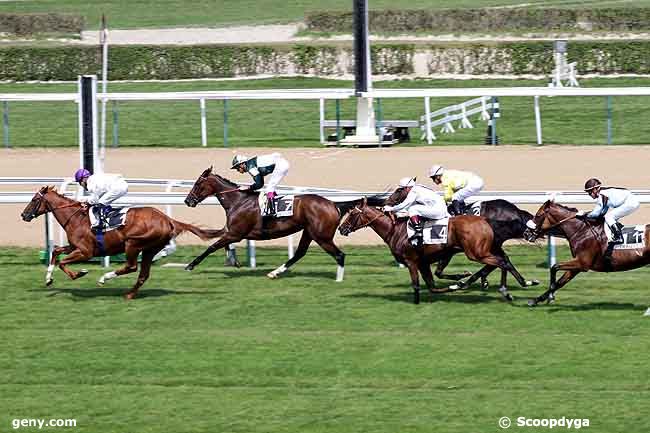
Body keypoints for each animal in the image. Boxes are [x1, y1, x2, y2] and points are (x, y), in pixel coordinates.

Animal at [20, 184, 223, 298]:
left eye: (34, 200)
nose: (23, 215)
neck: (76, 217)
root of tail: (168, 220)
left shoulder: (86, 251)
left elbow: (63, 262)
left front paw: (80, 273)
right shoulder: (74, 246)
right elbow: (55, 252)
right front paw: (48, 279)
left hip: (132, 244)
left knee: (132, 267)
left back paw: (105, 278)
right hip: (150, 249)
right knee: (143, 274)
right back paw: (130, 294)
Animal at [182, 165, 378, 280]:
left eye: (197, 184)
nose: (187, 201)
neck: (238, 201)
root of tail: (333, 204)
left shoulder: (235, 233)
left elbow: (212, 246)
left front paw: (190, 265)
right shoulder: (232, 232)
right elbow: (218, 243)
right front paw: (234, 262)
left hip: (322, 236)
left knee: (340, 255)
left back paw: (338, 279)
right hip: (309, 232)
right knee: (300, 253)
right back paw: (274, 272)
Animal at [336, 199, 536, 304]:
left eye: (352, 214)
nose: (341, 229)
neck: (395, 230)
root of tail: (486, 220)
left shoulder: (411, 261)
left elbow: (417, 284)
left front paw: (416, 301)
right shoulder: (425, 262)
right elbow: (433, 285)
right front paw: (458, 282)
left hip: (476, 253)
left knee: (500, 262)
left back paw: (505, 290)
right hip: (487, 249)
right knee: (504, 260)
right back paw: (523, 283)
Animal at [520, 200, 648, 306]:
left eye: (538, 215)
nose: (526, 233)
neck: (581, 230)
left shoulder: (582, 263)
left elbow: (554, 267)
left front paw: (549, 296)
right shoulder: (577, 265)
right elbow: (560, 282)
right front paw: (536, 300)